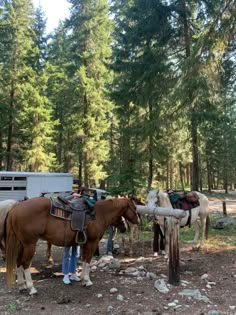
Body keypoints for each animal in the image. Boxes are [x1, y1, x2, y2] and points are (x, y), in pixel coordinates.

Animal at [5, 198, 138, 296]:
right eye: (135, 208)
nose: (127, 226)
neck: (99, 214)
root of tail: (16, 208)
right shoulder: (92, 242)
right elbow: (88, 260)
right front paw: (87, 281)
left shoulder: (85, 244)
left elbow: (84, 260)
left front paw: (83, 279)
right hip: (29, 244)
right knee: (25, 263)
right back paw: (31, 288)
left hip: (21, 244)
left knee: (18, 262)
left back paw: (22, 286)